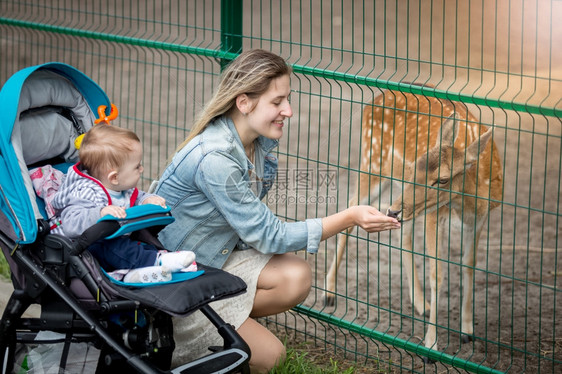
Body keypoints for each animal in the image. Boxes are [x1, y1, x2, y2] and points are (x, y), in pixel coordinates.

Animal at [324, 90, 504, 350]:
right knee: (351, 204)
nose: (393, 210)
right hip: (372, 162)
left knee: (403, 234)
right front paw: (431, 344)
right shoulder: (434, 215)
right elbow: (437, 274)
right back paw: (328, 293)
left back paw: (420, 303)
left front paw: (467, 331)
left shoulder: (480, 218)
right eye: (417, 164)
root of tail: (375, 99)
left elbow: (469, 264)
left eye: (442, 179)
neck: (470, 203)